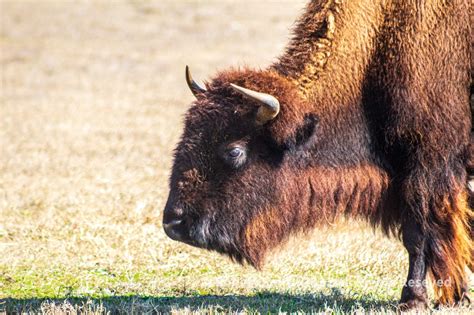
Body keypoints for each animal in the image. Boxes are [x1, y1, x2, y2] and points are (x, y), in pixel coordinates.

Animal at [162, 0, 470, 312]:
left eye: (234, 150)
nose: (174, 223)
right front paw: (455, 297)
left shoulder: (426, 169)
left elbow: (420, 237)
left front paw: (414, 301)